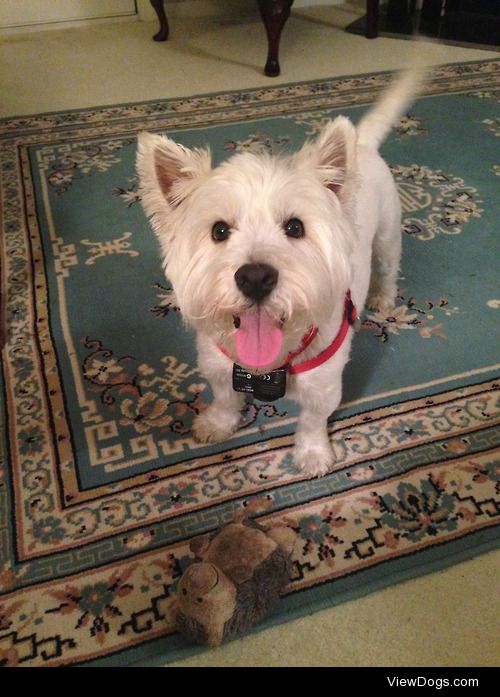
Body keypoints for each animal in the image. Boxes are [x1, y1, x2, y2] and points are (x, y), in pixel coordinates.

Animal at [139, 68, 424, 476]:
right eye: (219, 230)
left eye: (295, 227)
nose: (255, 277)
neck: (267, 365)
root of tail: (363, 145)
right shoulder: (218, 366)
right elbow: (225, 398)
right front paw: (216, 424)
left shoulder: (324, 385)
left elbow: (312, 421)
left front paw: (313, 454)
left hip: (387, 234)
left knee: (387, 267)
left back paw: (383, 299)